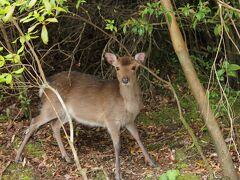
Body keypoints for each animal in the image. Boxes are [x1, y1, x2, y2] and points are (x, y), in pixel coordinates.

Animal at [15, 51, 157, 179]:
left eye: (134, 67)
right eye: (117, 68)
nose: (125, 80)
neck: (127, 105)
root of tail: (43, 86)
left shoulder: (130, 120)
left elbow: (138, 137)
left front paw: (152, 162)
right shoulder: (110, 120)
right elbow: (117, 146)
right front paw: (118, 174)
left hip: (65, 113)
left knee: (54, 125)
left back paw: (67, 157)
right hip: (51, 106)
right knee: (35, 121)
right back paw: (17, 157)